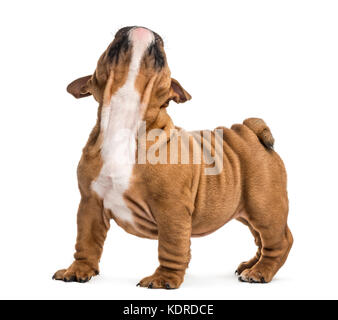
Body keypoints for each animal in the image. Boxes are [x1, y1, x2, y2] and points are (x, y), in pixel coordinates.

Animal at [53, 26, 294, 288]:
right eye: (113, 42)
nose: (138, 27)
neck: (125, 117)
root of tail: (250, 131)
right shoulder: (91, 204)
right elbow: (86, 242)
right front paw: (79, 269)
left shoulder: (171, 209)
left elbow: (171, 246)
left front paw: (163, 278)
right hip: (247, 212)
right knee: (261, 240)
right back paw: (251, 264)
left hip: (263, 207)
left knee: (279, 241)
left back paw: (260, 271)